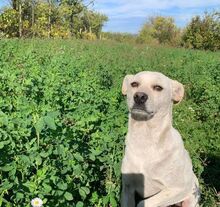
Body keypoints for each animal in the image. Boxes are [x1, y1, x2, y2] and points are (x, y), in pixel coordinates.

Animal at [120, 71, 199, 207]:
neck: (145, 139)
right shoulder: (127, 189)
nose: (139, 96)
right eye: (134, 84)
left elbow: (143, 203)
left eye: (158, 87)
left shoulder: (178, 189)